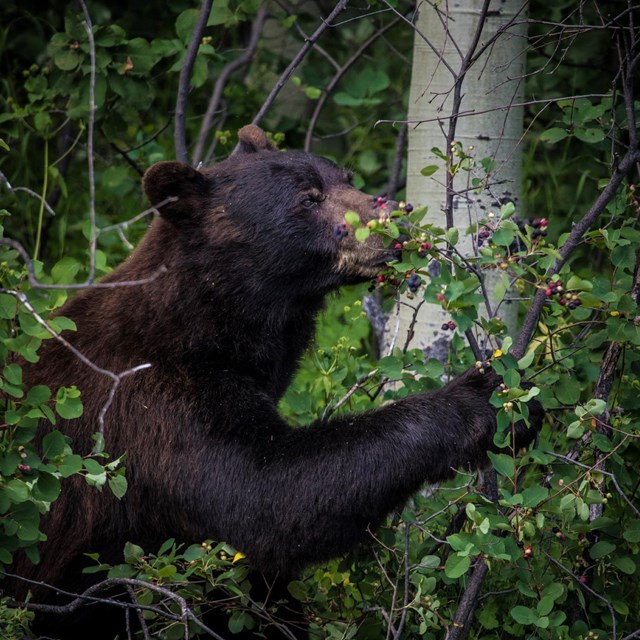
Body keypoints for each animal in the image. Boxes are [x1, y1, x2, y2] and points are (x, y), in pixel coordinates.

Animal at [7, 125, 536, 636]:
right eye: (307, 198)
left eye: (344, 176)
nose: (397, 218)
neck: (204, 322)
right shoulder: (151, 406)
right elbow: (266, 493)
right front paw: (480, 400)